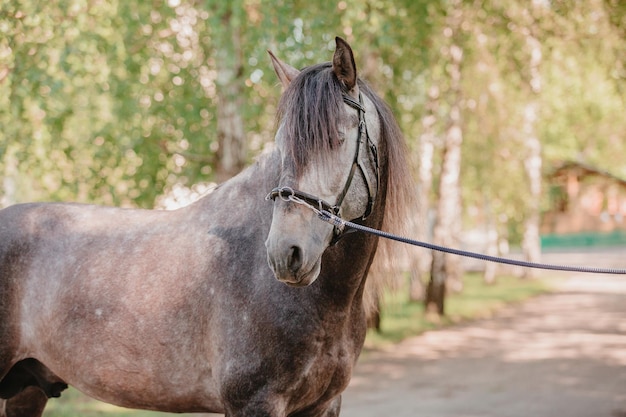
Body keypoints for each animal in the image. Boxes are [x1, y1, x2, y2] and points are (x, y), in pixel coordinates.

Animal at [0, 36, 414, 416]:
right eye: (282, 145)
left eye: (338, 139)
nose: (286, 254)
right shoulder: (254, 403)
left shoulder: (324, 405)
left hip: (26, 389)